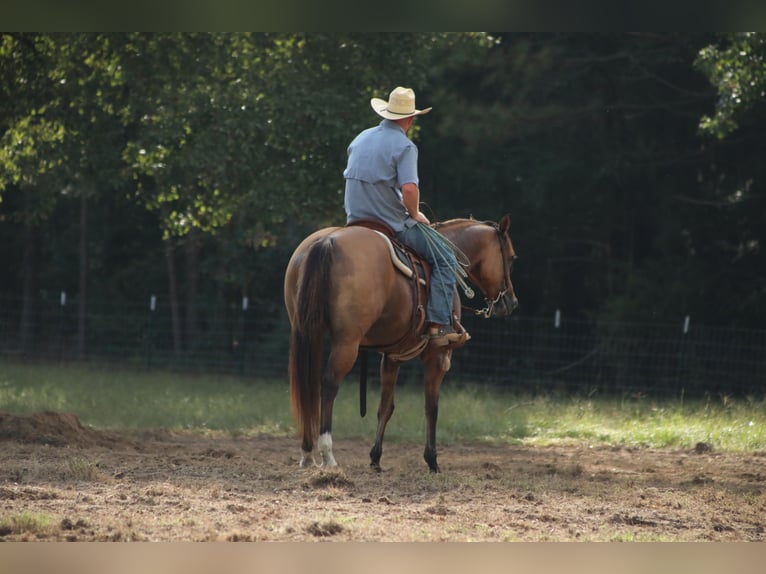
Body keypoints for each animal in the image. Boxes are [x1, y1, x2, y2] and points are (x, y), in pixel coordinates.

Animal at [284, 214, 520, 474]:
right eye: (511, 258)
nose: (511, 302)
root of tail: (327, 241)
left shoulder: (392, 357)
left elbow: (385, 407)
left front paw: (375, 458)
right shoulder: (438, 356)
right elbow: (431, 408)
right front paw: (432, 460)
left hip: (307, 332)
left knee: (308, 384)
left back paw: (307, 453)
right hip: (347, 342)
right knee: (329, 384)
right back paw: (327, 454)